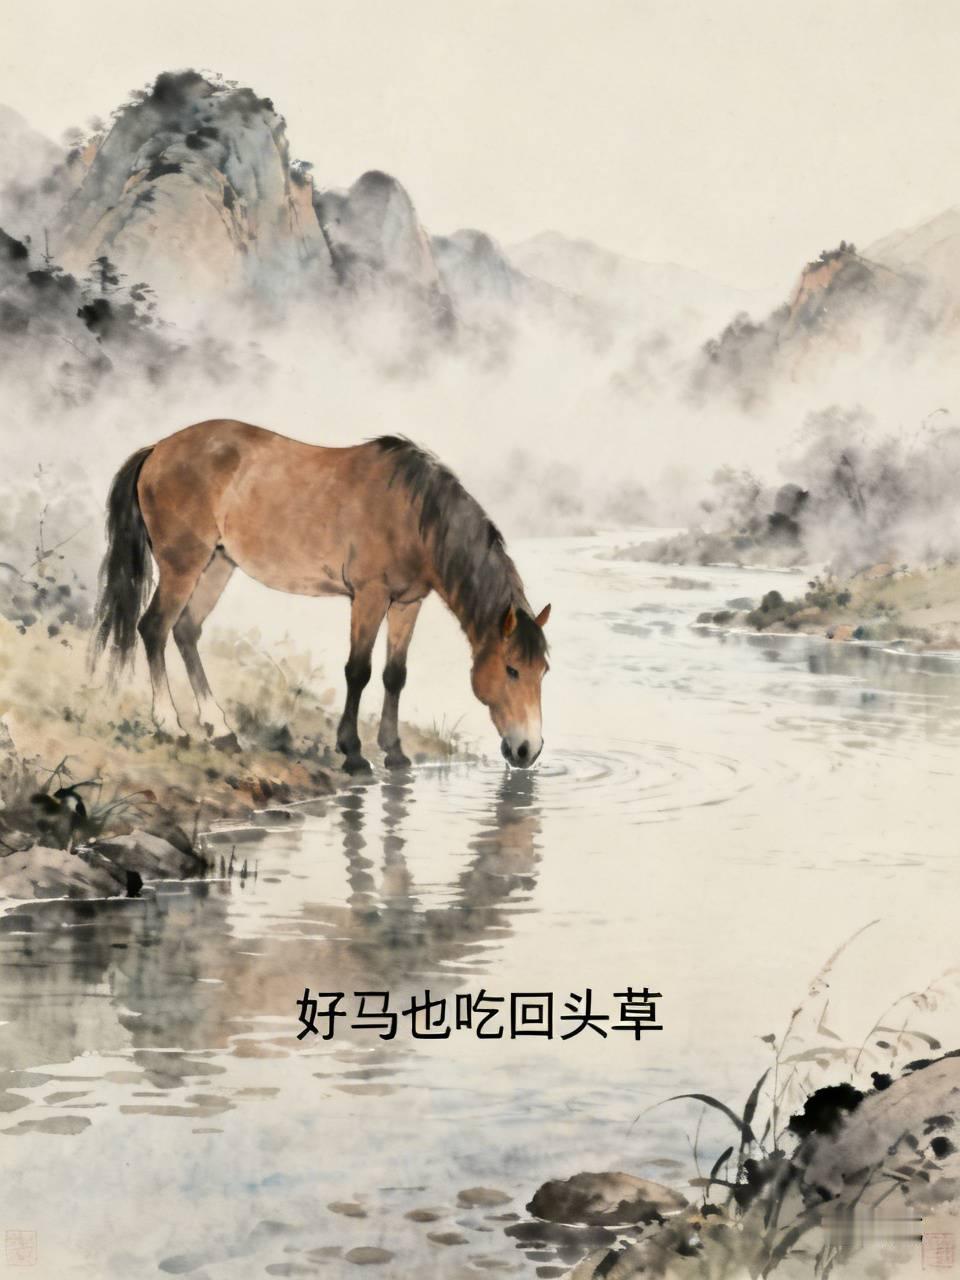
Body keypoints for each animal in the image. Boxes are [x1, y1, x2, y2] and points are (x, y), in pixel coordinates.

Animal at [93, 420, 551, 772]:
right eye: (511, 669)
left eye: (543, 671)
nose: (527, 751)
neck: (413, 514)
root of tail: (157, 449)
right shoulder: (369, 596)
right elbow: (359, 671)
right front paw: (353, 754)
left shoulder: (407, 603)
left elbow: (394, 675)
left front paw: (395, 753)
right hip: (184, 564)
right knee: (154, 628)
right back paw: (170, 725)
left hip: (218, 564)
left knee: (186, 631)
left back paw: (221, 729)